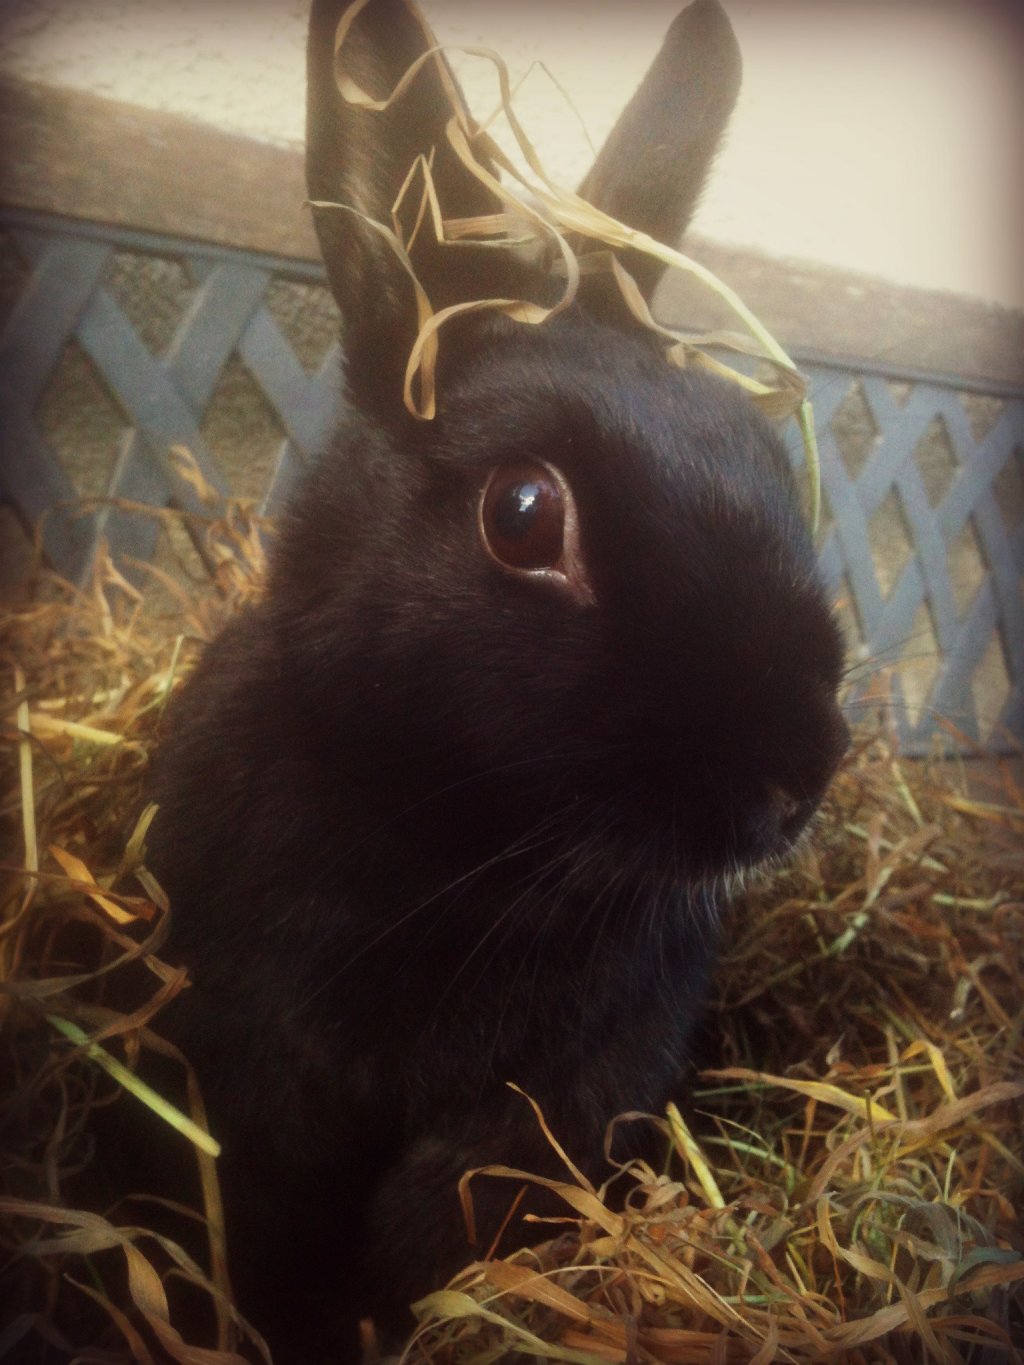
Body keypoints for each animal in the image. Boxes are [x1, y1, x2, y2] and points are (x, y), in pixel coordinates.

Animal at [142, 5, 851, 1359]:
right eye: (523, 514)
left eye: (763, 459)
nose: (793, 779)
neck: (453, 849)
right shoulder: (249, 1082)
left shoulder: (548, 1104)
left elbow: (441, 1229)